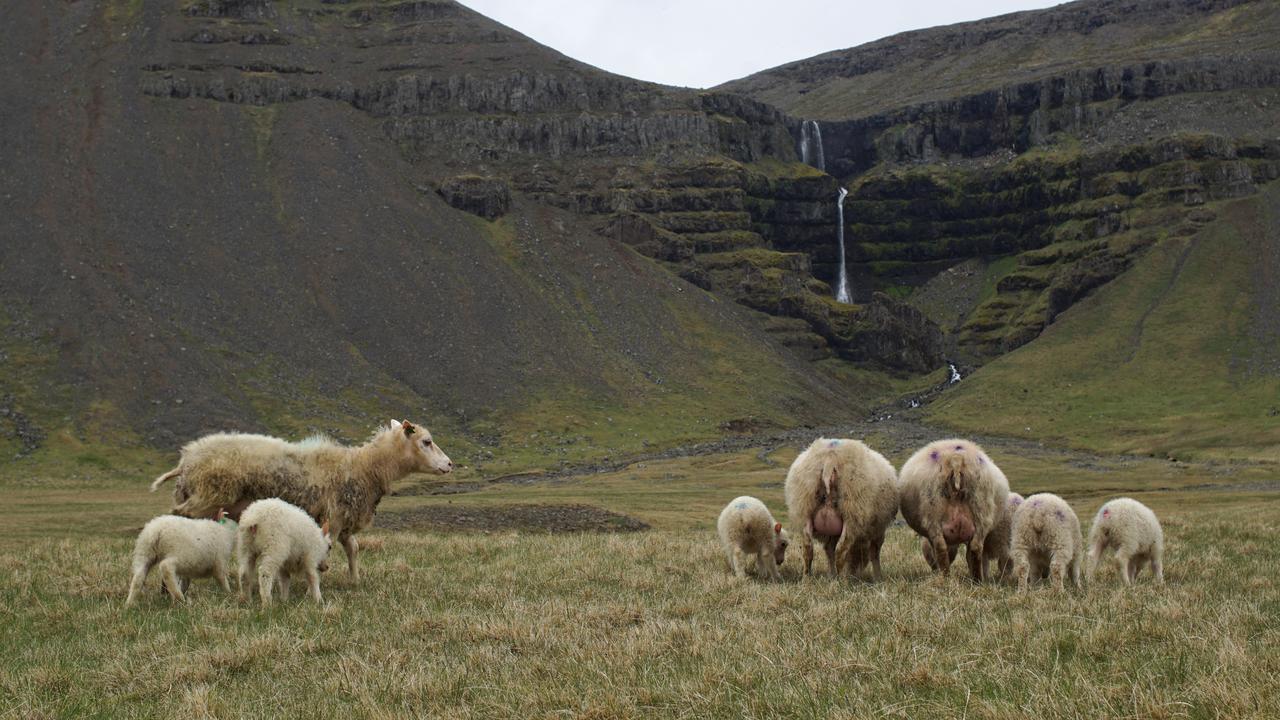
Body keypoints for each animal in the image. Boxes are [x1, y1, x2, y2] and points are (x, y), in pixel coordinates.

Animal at [151, 417, 455, 579]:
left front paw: (355, 579)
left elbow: (353, 549)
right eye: (426, 442)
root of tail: (186, 459)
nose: (450, 464)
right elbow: (329, 545)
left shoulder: (344, 517)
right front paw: (321, 573)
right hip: (204, 497)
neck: (363, 467)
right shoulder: (334, 515)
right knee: (178, 520)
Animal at [778, 435, 901, 579]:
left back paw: (807, 578)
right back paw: (843, 580)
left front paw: (831, 575)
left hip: (803, 508)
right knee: (841, 551)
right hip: (853, 512)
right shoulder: (878, 529)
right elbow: (874, 553)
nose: (855, 572)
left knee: (808, 549)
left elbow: (828, 550)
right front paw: (878, 577)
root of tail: (830, 457)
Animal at [901, 435, 1008, 579]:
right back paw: (976, 579)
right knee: (975, 548)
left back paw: (945, 577)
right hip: (981, 508)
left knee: (941, 547)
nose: (933, 568)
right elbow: (968, 555)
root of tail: (955, 459)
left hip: (933, 509)